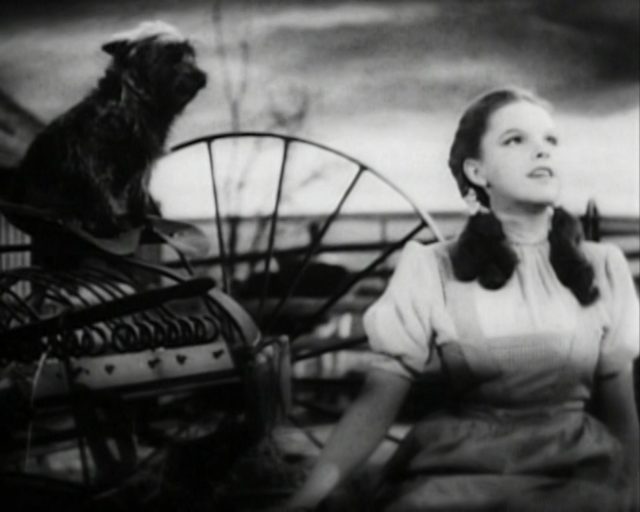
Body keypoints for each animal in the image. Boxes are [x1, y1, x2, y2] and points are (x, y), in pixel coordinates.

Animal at [15, 23, 205, 239]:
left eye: (191, 55)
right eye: (172, 56)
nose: (202, 78)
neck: (134, 104)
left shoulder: (141, 167)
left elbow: (138, 194)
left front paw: (143, 221)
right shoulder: (95, 161)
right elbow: (101, 194)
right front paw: (108, 226)